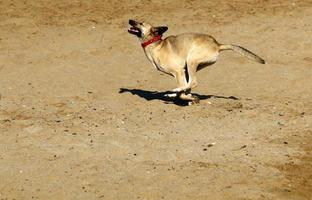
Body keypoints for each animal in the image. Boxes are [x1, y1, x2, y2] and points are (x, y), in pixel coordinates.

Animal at [128, 19, 264, 104]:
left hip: (191, 61)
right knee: (188, 85)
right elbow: (185, 92)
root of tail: (217, 45)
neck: (155, 44)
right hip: (190, 68)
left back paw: (173, 92)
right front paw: (191, 98)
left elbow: (183, 90)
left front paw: (180, 95)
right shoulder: (183, 72)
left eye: (141, 23)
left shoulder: (178, 72)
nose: (129, 20)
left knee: (193, 83)